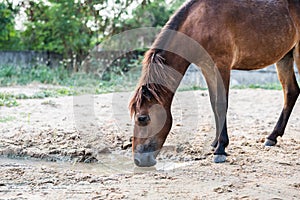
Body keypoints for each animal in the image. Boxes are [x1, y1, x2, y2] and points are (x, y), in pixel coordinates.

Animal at [127, 0, 298, 167]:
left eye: (142, 118)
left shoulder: (222, 66)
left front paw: (221, 149)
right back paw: (272, 137)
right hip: (285, 57)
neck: (198, 24)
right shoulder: (207, 68)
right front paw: (215, 143)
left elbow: (221, 105)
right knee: (291, 91)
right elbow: (213, 104)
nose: (138, 160)